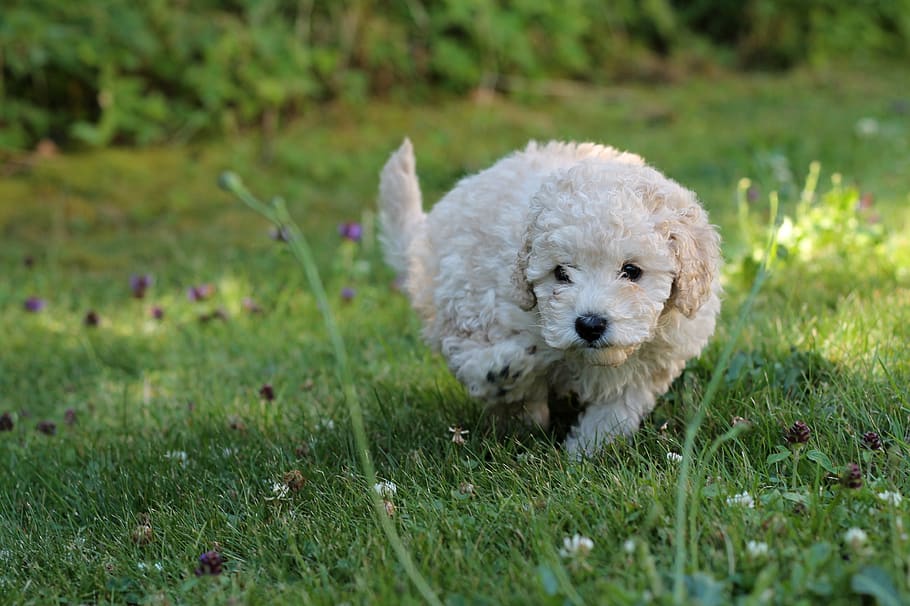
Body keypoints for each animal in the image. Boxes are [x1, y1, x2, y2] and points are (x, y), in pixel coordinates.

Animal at [382, 140, 724, 458]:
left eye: (631, 271)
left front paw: (586, 452)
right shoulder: (484, 309)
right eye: (560, 273)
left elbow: (614, 410)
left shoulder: (650, 364)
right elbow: (483, 365)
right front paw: (502, 374)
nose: (589, 325)